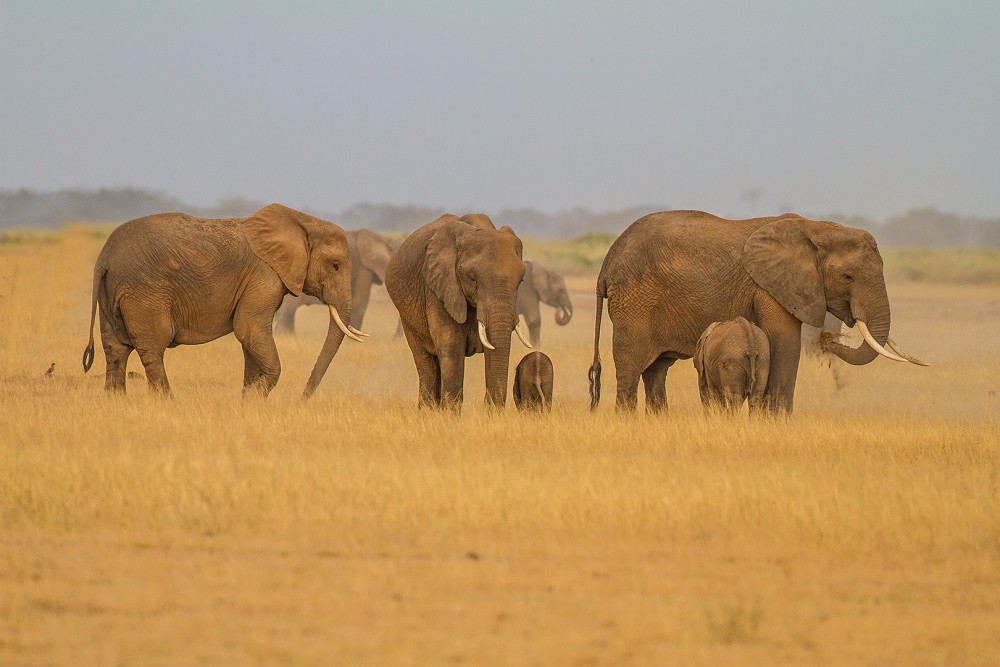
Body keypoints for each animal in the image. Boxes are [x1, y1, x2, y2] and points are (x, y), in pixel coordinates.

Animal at [81, 204, 364, 400]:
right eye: (335, 266)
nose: (302, 400)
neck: (302, 221)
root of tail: (103, 259)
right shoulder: (264, 276)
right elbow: (249, 329)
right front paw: (254, 398)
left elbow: (250, 338)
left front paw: (248, 400)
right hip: (144, 293)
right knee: (152, 348)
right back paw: (166, 402)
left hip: (111, 292)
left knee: (116, 348)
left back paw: (116, 401)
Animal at [386, 214, 536, 412]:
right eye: (473, 279)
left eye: (521, 281)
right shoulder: (439, 288)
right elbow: (451, 348)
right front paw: (450, 415)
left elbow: (493, 350)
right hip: (407, 317)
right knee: (426, 362)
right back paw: (427, 410)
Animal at [588, 211, 924, 414]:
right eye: (848, 277)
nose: (829, 340)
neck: (817, 228)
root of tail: (606, 263)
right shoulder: (770, 287)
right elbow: (785, 343)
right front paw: (777, 421)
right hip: (634, 303)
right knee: (631, 368)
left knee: (656, 370)